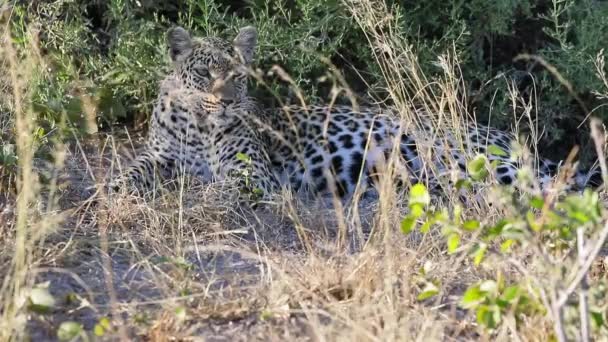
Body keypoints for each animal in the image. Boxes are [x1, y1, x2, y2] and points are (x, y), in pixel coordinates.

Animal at [114, 26, 604, 200]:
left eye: (237, 74)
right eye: (204, 72)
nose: (227, 100)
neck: (198, 127)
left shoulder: (252, 171)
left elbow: (223, 187)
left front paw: (201, 196)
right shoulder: (157, 156)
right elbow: (131, 172)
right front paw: (113, 192)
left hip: (472, 155)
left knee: (561, 186)